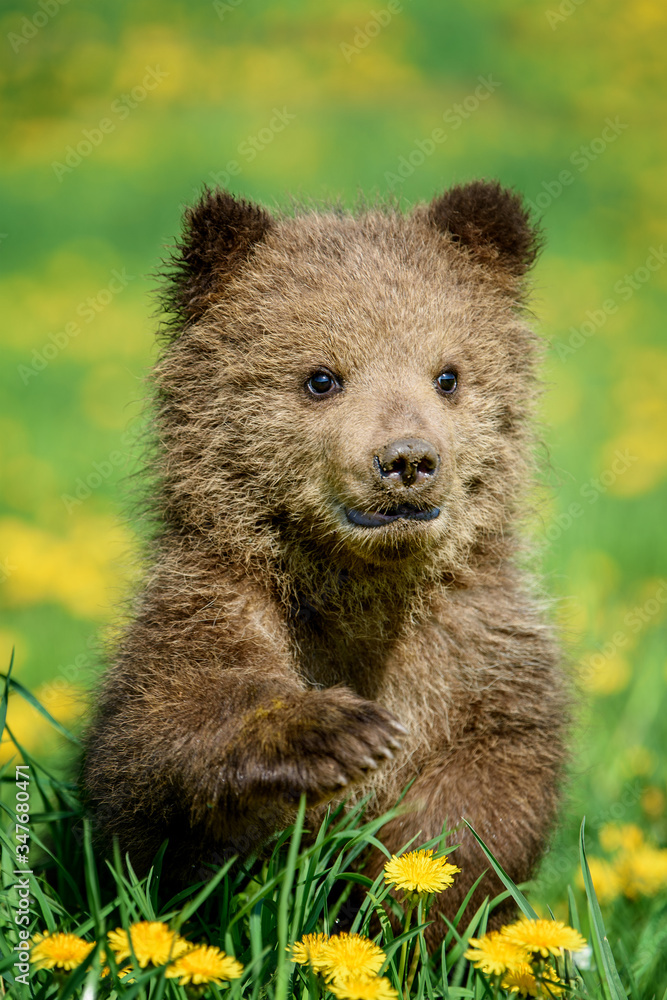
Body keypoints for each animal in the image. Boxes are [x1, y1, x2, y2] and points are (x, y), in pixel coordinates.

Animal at [81, 181, 568, 944]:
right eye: (320, 377)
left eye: (448, 374)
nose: (406, 460)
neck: (360, 585)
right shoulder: (216, 603)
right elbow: (163, 736)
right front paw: (340, 734)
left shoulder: (475, 646)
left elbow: (485, 796)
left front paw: (407, 899)